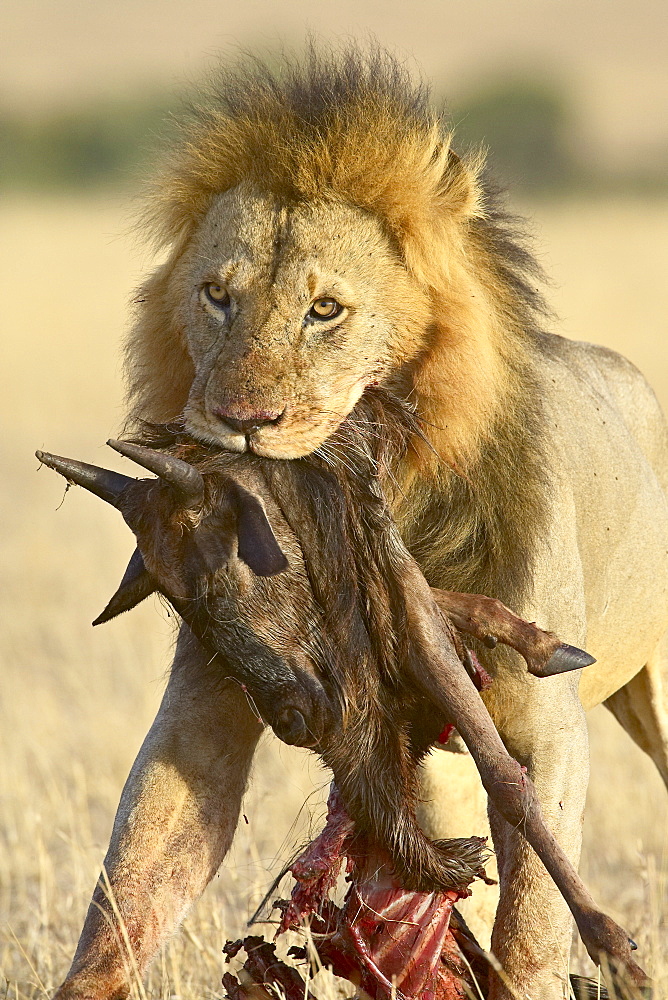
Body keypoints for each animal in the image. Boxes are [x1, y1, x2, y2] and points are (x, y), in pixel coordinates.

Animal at [56, 48, 668, 1000]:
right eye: (216, 296)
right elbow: (130, 889)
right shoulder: (208, 707)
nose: (239, 420)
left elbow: (533, 923)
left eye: (325, 311)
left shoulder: (546, 730)